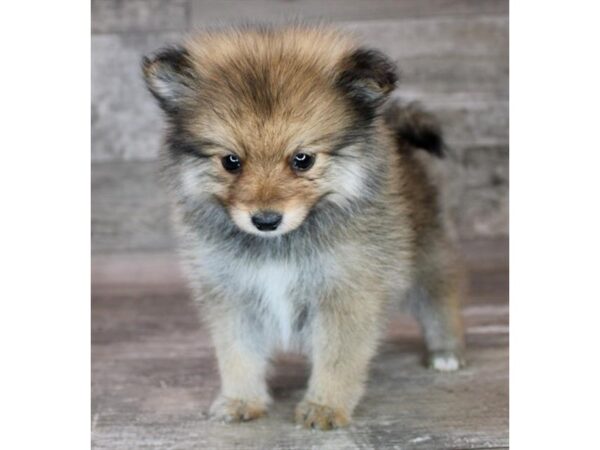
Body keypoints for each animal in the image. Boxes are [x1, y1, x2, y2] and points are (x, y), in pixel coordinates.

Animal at [143, 23, 466, 428]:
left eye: (303, 160)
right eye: (231, 161)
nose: (265, 220)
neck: (280, 245)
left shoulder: (346, 292)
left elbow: (337, 358)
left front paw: (324, 407)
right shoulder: (231, 294)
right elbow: (238, 354)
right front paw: (240, 400)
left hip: (427, 255)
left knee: (441, 298)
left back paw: (446, 353)